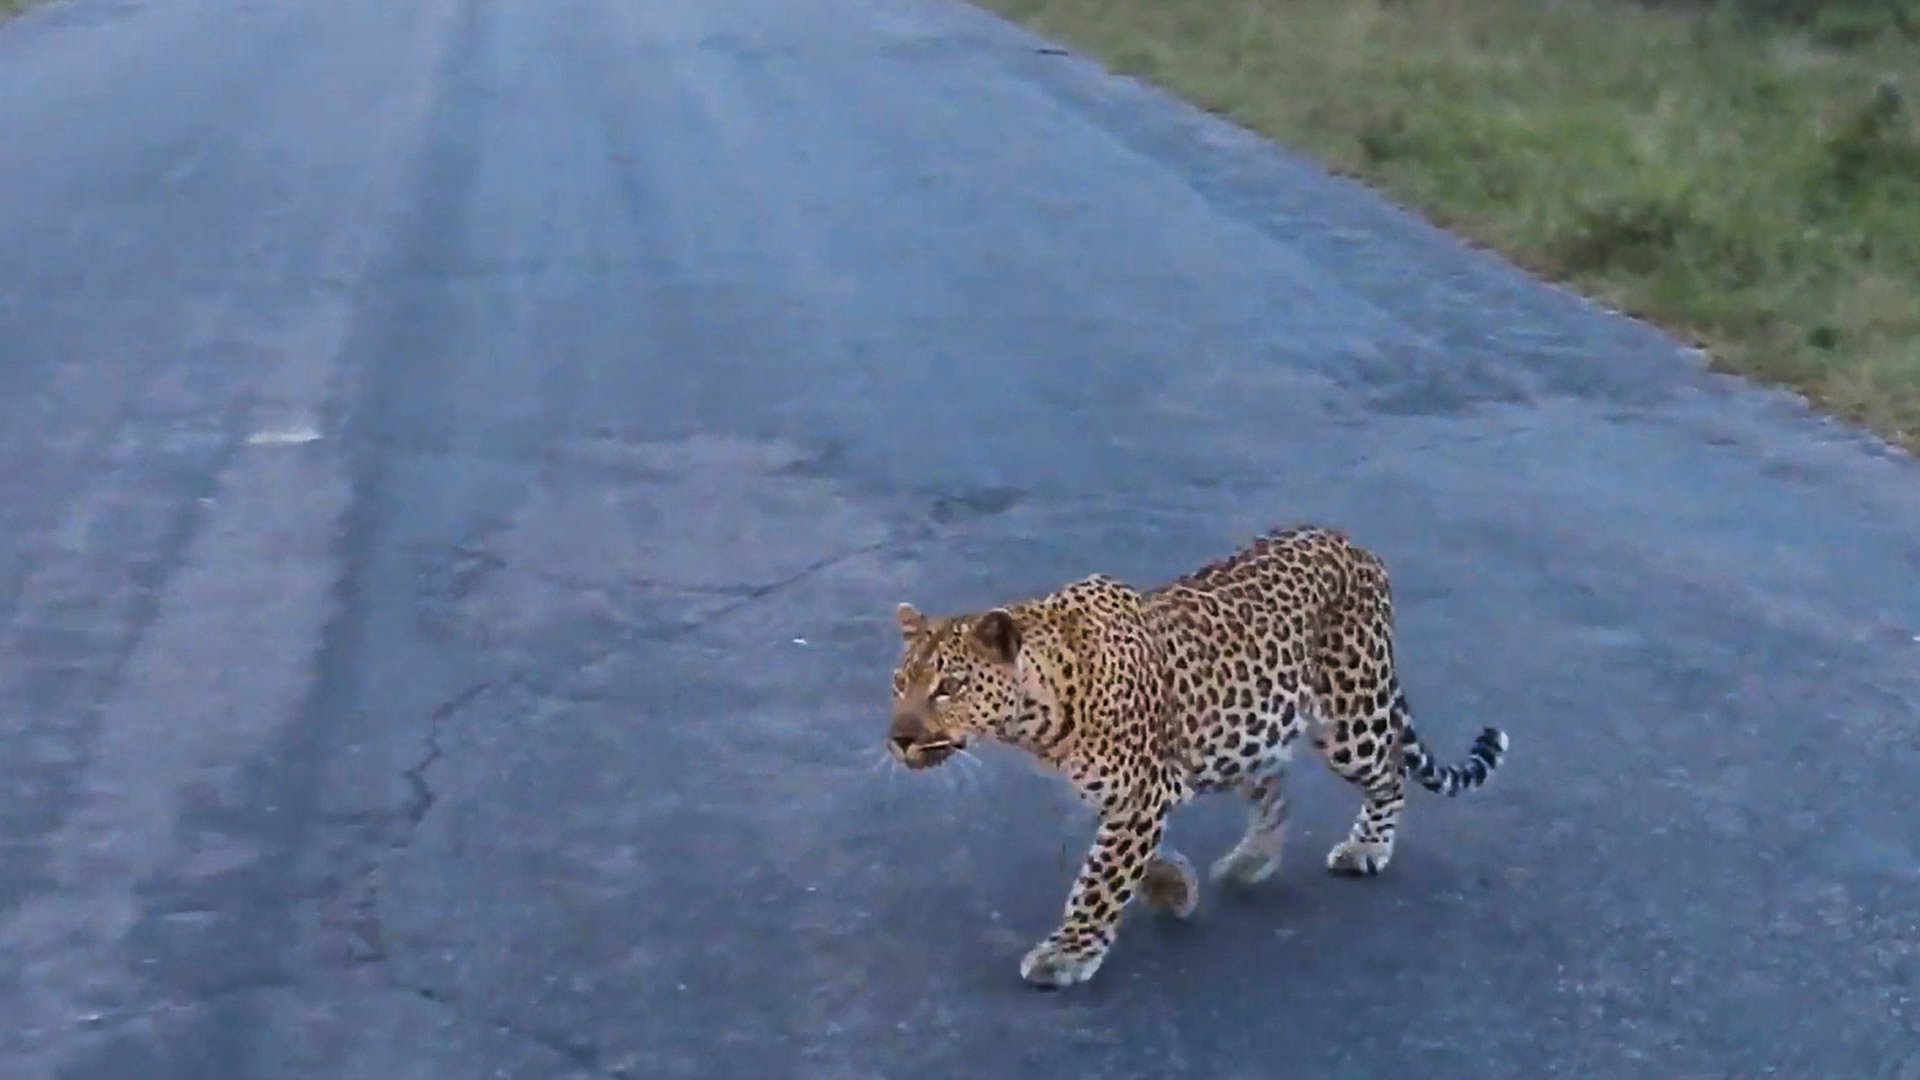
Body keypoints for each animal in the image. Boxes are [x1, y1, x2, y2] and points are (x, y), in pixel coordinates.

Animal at [886, 524, 1510, 989]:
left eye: (948, 688)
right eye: (899, 683)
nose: (898, 738)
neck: (1044, 710)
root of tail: (1353, 544)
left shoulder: (1139, 792)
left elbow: (1100, 878)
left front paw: (1068, 954)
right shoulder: (1135, 793)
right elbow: (1126, 856)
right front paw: (1171, 885)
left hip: (1350, 716)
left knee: (1390, 771)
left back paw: (1367, 847)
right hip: (1247, 726)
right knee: (1274, 788)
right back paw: (1251, 860)